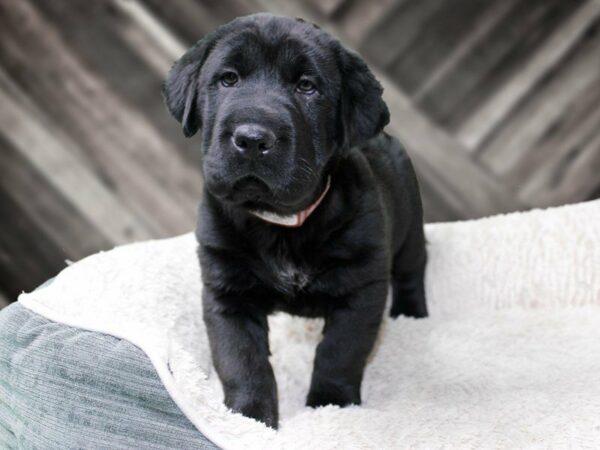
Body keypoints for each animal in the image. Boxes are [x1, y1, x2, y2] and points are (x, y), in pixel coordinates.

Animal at [163, 13, 426, 428]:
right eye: (228, 79)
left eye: (306, 87)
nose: (252, 139)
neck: (281, 224)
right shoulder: (227, 292)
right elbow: (242, 360)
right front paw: (250, 420)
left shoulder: (362, 288)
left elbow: (339, 353)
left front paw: (331, 406)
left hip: (410, 225)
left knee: (413, 270)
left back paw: (412, 315)